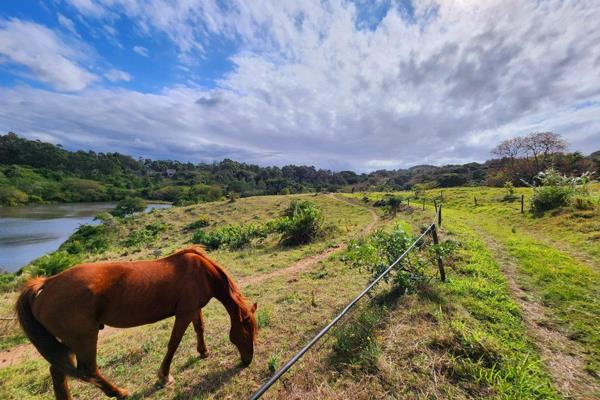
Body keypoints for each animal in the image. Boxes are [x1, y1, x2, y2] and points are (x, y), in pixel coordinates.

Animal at [16, 248, 255, 398]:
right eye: (248, 331)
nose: (248, 361)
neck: (202, 272)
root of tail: (45, 284)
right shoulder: (184, 313)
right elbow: (174, 343)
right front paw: (164, 376)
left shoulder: (193, 309)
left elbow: (200, 328)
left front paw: (203, 352)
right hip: (84, 339)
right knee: (89, 371)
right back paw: (119, 393)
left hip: (69, 343)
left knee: (58, 372)